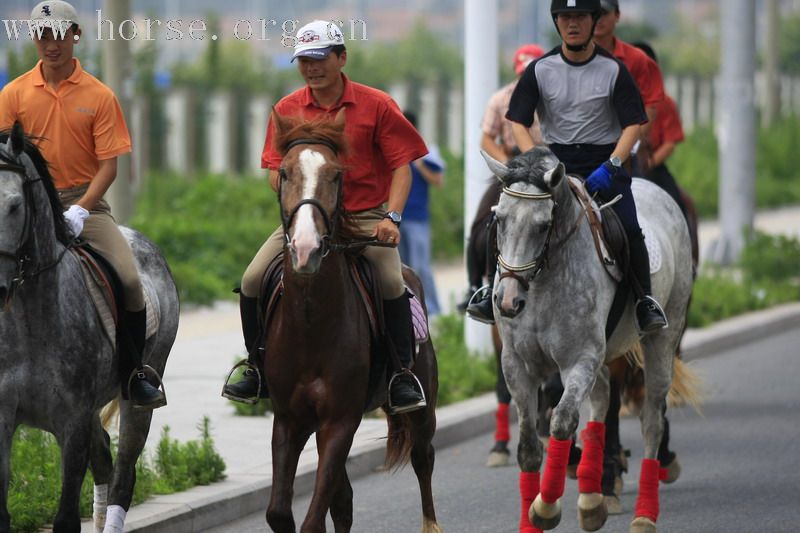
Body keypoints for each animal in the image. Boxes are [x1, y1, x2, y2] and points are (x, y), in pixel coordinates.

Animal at [0, 124, 178, 532]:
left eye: (14, 206)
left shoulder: (73, 424)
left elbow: (66, 516)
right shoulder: (2, 418)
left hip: (139, 392)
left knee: (123, 473)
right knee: (105, 460)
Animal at [262, 111, 440, 532]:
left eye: (335, 175)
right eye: (285, 173)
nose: (306, 248)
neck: (311, 323)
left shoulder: (340, 421)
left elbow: (313, 519)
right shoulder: (289, 420)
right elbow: (280, 511)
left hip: (422, 410)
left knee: (423, 460)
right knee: (343, 500)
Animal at [484, 147, 696, 532]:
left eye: (543, 225)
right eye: (500, 219)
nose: (507, 301)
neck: (543, 282)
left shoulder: (579, 359)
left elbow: (562, 421)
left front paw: (545, 508)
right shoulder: (517, 365)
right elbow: (529, 447)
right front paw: (535, 516)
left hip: (661, 339)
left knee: (652, 422)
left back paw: (643, 513)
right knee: (602, 400)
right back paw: (593, 498)